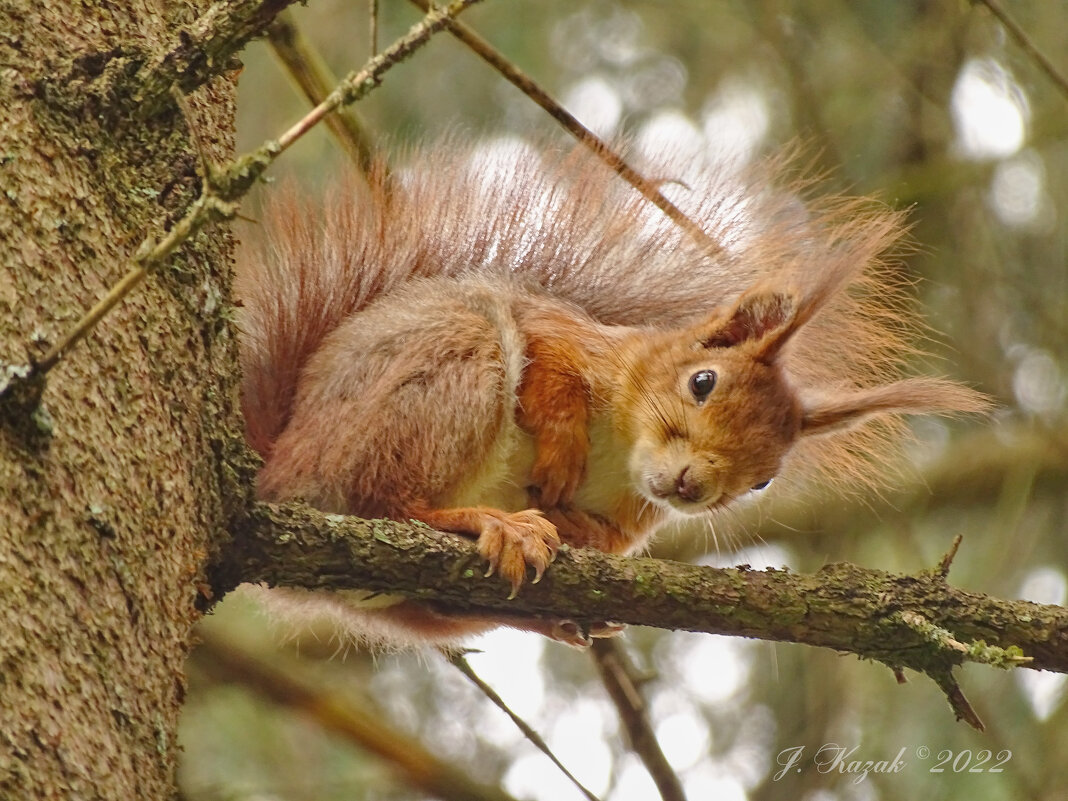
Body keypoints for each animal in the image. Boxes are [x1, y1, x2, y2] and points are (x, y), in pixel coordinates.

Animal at [238, 140, 986, 649]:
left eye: (764, 481)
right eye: (702, 381)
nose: (691, 486)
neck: (621, 455)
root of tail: (283, 467)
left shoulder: (633, 523)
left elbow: (606, 538)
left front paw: (576, 528)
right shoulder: (568, 337)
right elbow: (551, 367)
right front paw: (562, 444)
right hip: (446, 372)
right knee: (388, 501)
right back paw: (491, 521)